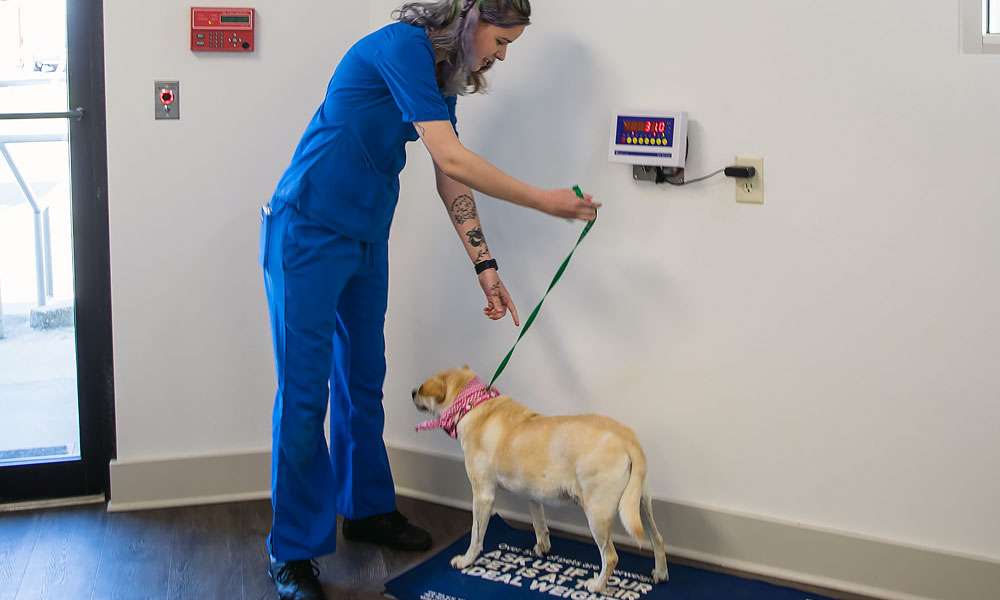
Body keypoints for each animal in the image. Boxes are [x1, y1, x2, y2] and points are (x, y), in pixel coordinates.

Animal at [410, 366, 668, 592]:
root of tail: (628, 439)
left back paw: (597, 586)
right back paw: (661, 573)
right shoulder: (533, 494)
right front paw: (543, 547)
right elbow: (539, 523)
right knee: (658, 538)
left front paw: (466, 560)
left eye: (422, 388)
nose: (412, 392)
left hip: (597, 513)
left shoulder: (482, 495)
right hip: (640, 503)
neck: (474, 405)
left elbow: (476, 534)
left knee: (611, 556)